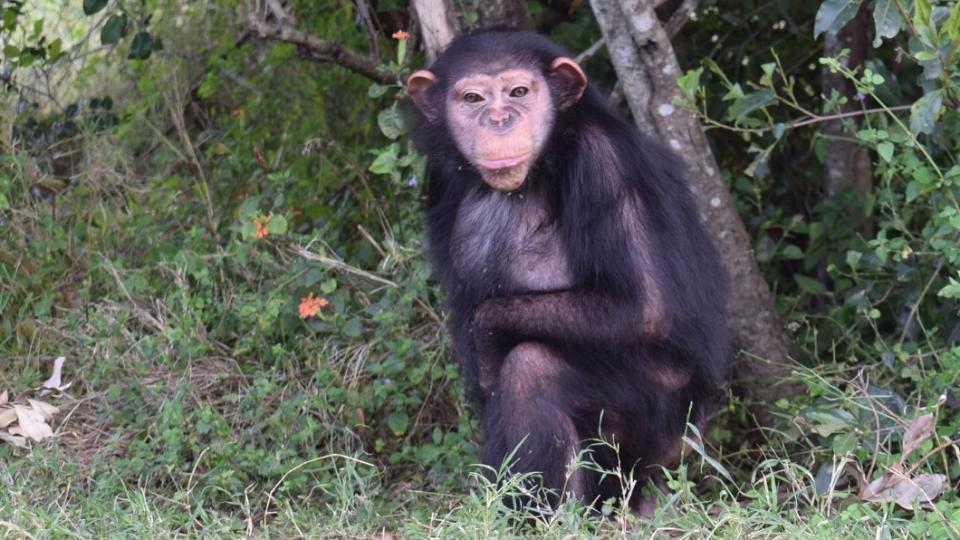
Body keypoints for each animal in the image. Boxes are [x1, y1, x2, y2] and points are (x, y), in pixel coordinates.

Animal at [404, 28, 728, 510]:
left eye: (519, 92)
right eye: (473, 97)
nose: (498, 119)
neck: (544, 162)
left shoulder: (606, 166)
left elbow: (645, 306)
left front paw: (487, 339)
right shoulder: (439, 179)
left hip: (662, 418)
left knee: (532, 370)